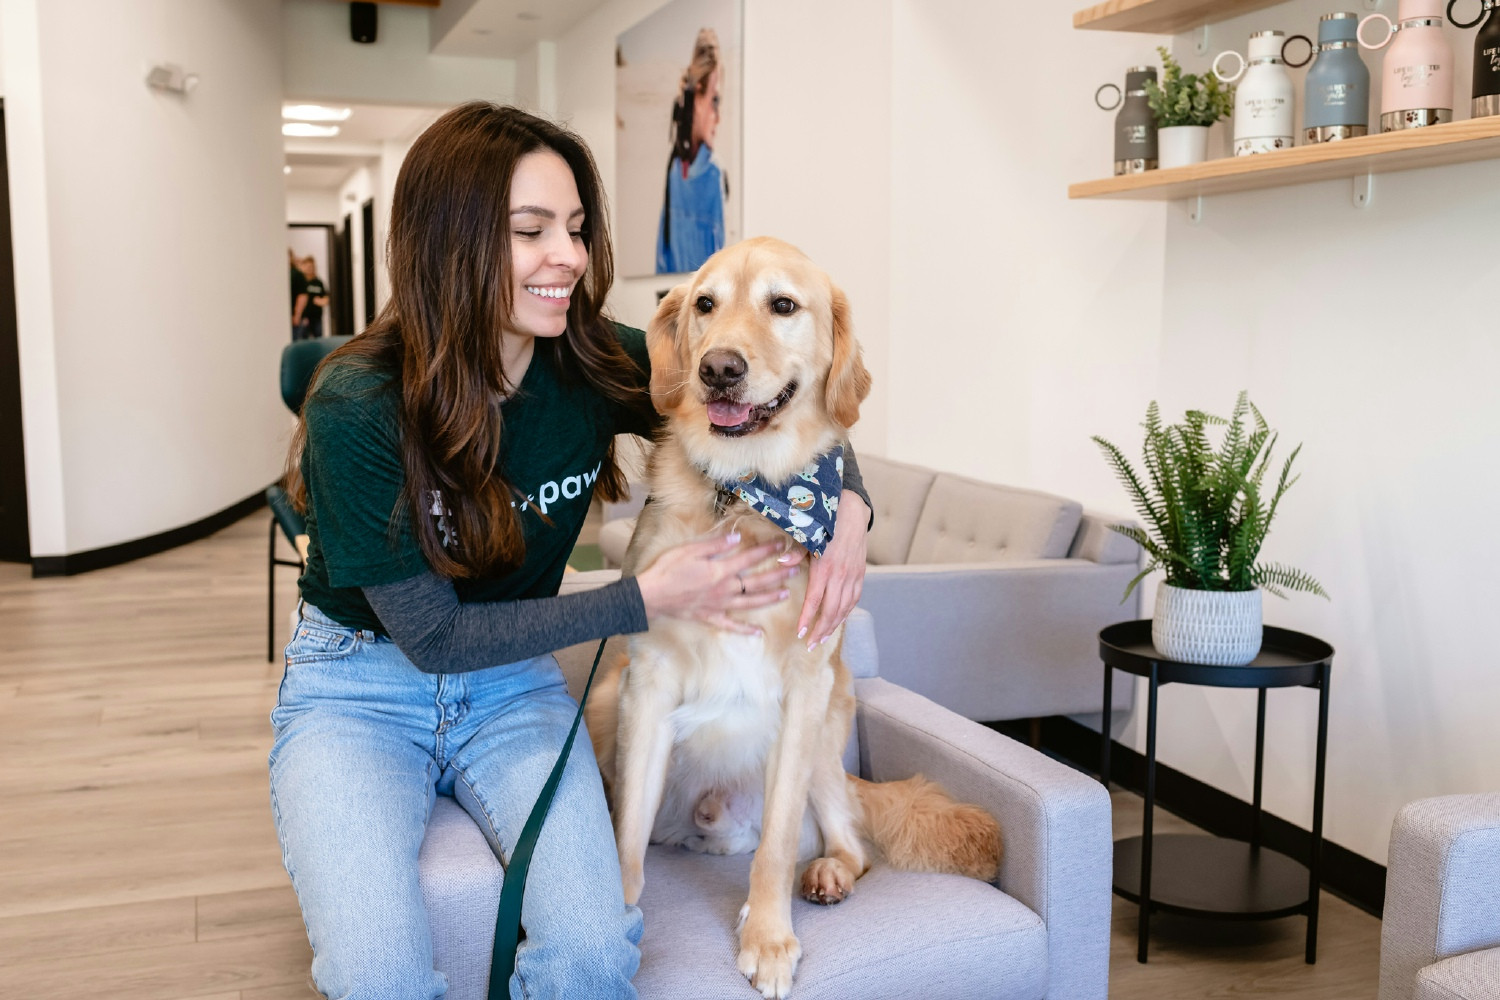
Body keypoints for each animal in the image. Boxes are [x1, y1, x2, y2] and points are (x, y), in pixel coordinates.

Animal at [591, 238, 1002, 995]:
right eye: (705, 304)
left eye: (783, 305)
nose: (718, 369)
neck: (745, 495)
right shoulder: (648, 682)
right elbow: (624, 835)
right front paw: (618, 917)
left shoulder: (806, 688)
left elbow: (779, 845)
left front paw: (768, 938)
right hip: (608, 699)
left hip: (826, 735)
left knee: (846, 840)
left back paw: (829, 873)